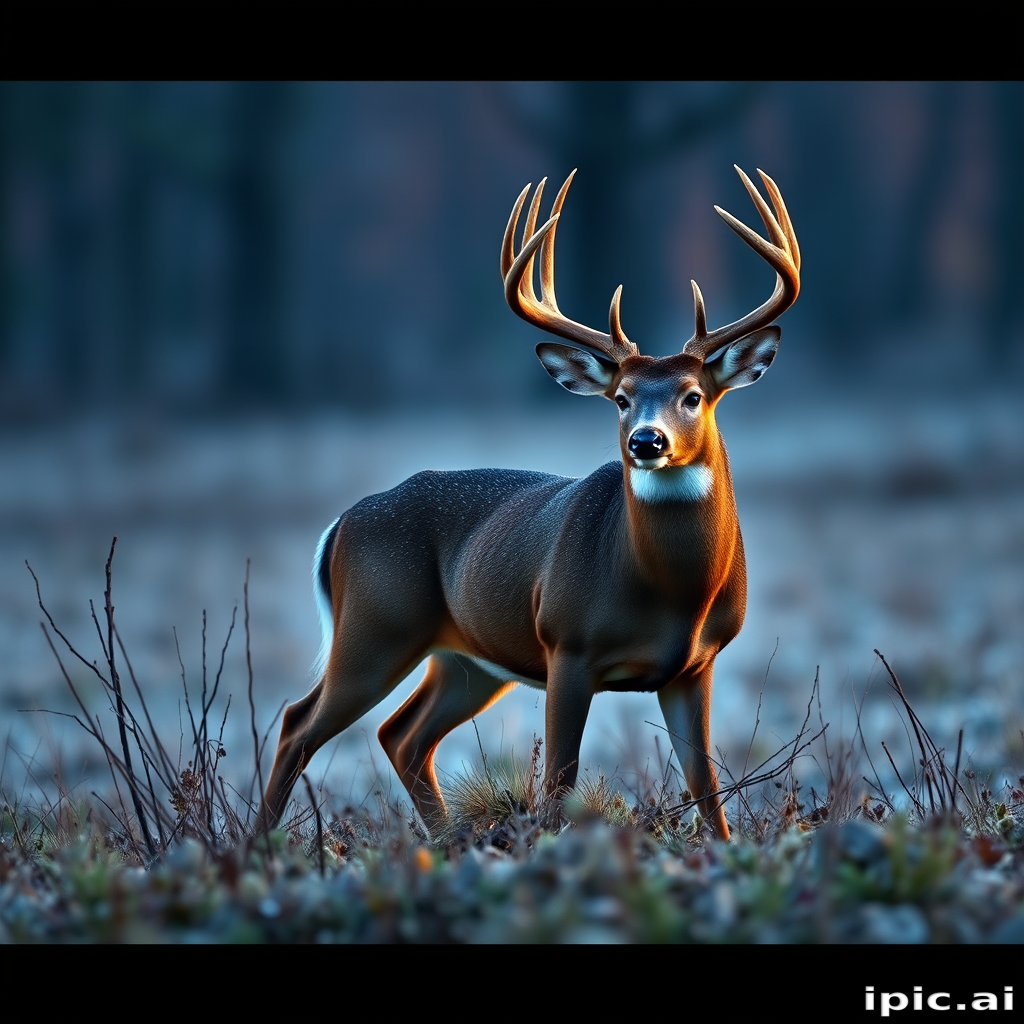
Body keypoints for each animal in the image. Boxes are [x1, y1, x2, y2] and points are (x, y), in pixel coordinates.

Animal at [260, 165, 800, 841]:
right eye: (621, 398)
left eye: (694, 394)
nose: (646, 441)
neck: (673, 595)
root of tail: (340, 524)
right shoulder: (567, 643)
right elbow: (559, 784)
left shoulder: (695, 666)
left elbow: (707, 788)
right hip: (375, 624)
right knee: (299, 723)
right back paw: (259, 842)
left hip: (467, 657)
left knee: (402, 734)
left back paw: (446, 838)